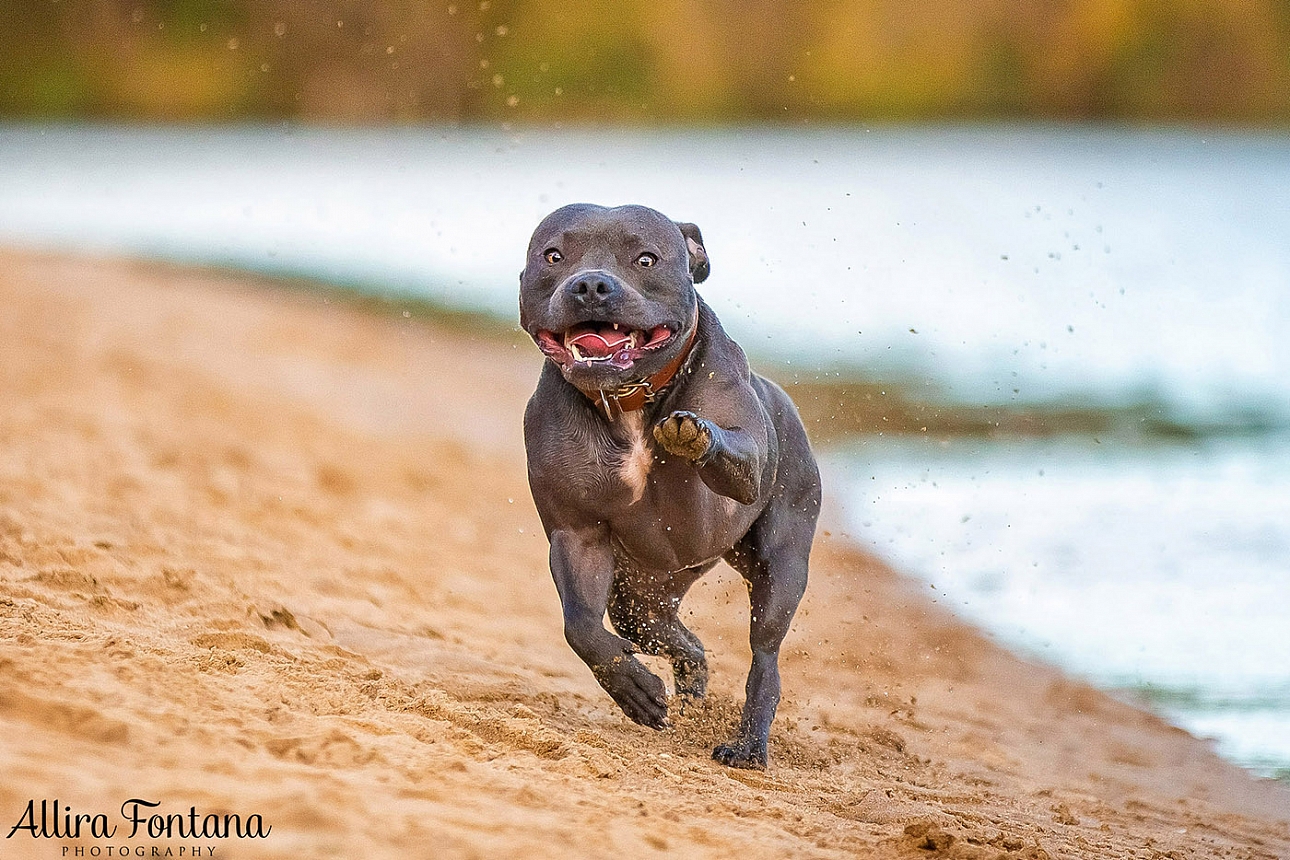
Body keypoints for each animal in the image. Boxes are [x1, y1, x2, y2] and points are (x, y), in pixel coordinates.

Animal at [518, 205, 820, 768]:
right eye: (553, 255)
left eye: (645, 259)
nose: (591, 284)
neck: (629, 399)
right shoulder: (577, 535)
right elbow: (581, 625)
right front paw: (633, 687)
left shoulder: (746, 458)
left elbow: (727, 445)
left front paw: (691, 434)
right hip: (645, 595)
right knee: (672, 637)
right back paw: (692, 686)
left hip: (779, 563)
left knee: (765, 655)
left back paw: (748, 744)